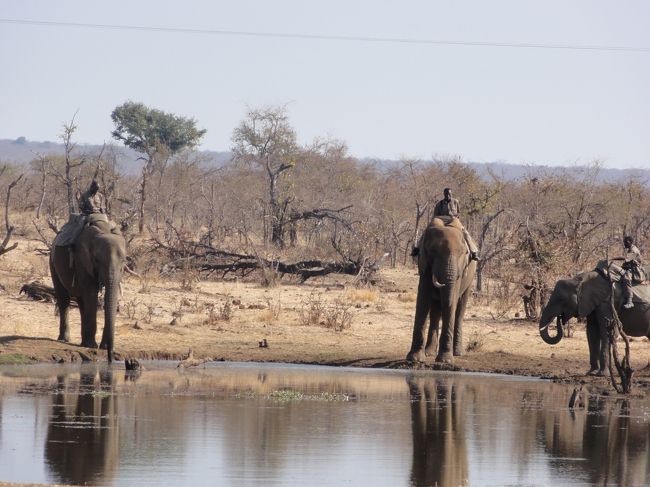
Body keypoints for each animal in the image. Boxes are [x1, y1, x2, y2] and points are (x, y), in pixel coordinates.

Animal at [50, 217, 126, 362]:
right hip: (52, 260)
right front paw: (92, 346)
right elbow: (91, 292)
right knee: (64, 299)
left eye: (124, 263)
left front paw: (100, 346)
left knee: (81, 302)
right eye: (97, 260)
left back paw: (83, 342)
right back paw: (65, 339)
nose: (110, 357)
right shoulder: (82, 259)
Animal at [404, 219, 476, 364]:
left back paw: (457, 353)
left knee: (459, 310)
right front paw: (414, 359)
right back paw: (429, 353)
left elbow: (451, 300)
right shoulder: (424, 263)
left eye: (464, 253)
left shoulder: (460, 270)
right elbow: (423, 299)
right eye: (433, 251)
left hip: (470, 280)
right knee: (435, 312)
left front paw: (445, 361)